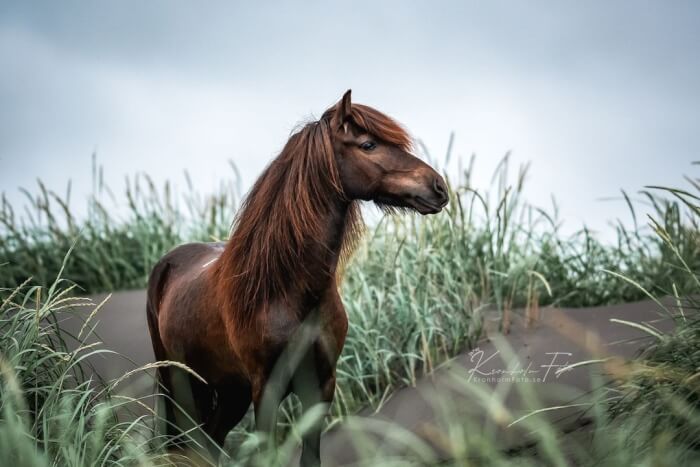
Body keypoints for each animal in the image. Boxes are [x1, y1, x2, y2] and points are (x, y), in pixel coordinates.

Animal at [147, 89, 448, 466]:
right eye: (368, 145)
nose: (438, 187)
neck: (286, 291)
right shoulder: (266, 389)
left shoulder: (320, 387)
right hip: (183, 385)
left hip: (230, 391)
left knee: (210, 443)